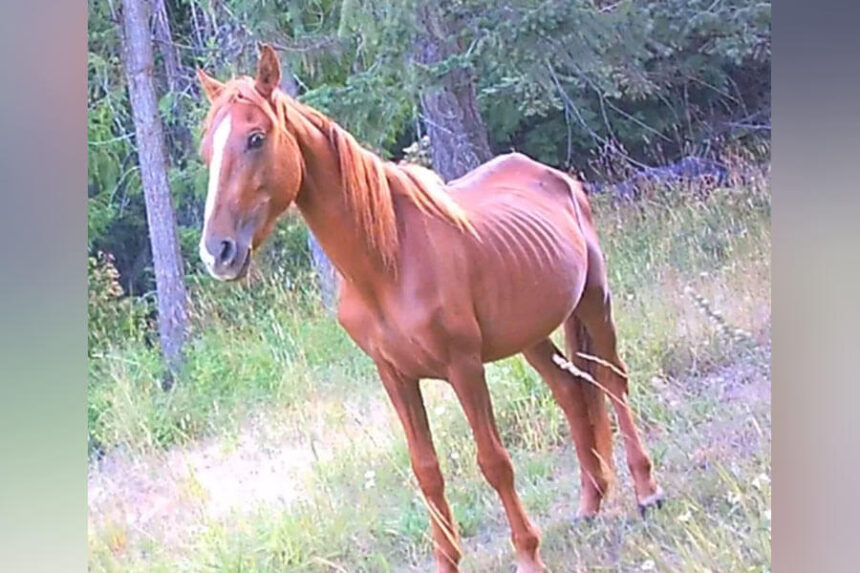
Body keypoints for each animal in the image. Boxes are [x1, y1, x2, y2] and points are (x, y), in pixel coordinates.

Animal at [196, 45, 663, 573]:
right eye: (208, 151)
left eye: (255, 138)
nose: (217, 252)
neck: (386, 264)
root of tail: (556, 177)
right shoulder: (395, 376)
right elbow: (426, 471)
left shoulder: (464, 368)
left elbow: (494, 462)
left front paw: (528, 554)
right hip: (530, 334)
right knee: (570, 392)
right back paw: (589, 502)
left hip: (594, 301)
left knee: (612, 380)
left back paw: (646, 490)